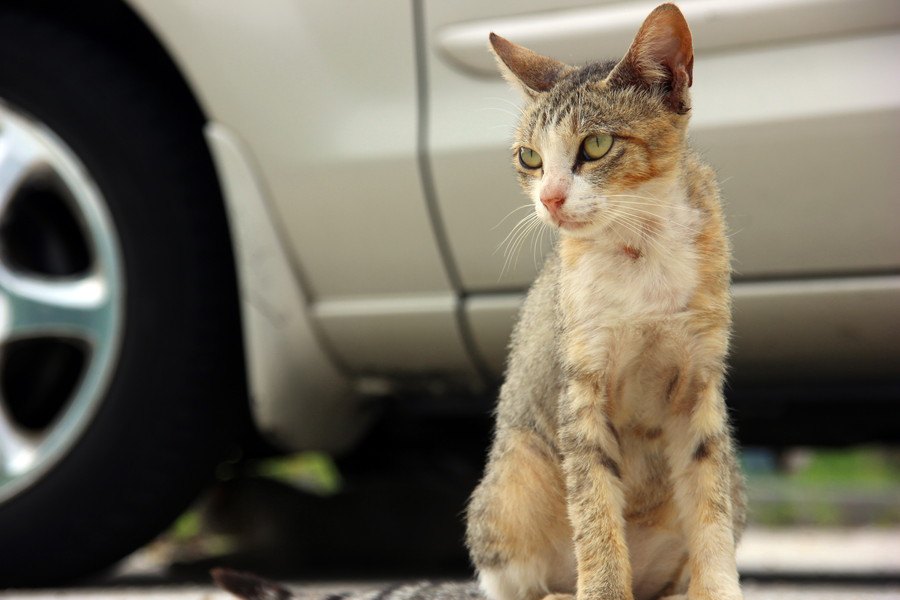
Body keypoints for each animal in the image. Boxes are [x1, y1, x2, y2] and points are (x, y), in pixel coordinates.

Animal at [464, 3, 744, 600]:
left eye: (595, 146)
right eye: (530, 158)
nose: (550, 198)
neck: (642, 250)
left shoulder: (700, 383)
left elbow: (709, 502)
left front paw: (716, 587)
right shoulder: (581, 386)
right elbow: (592, 505)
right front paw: (603, 588)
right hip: (510, 478)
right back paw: (558, 592)